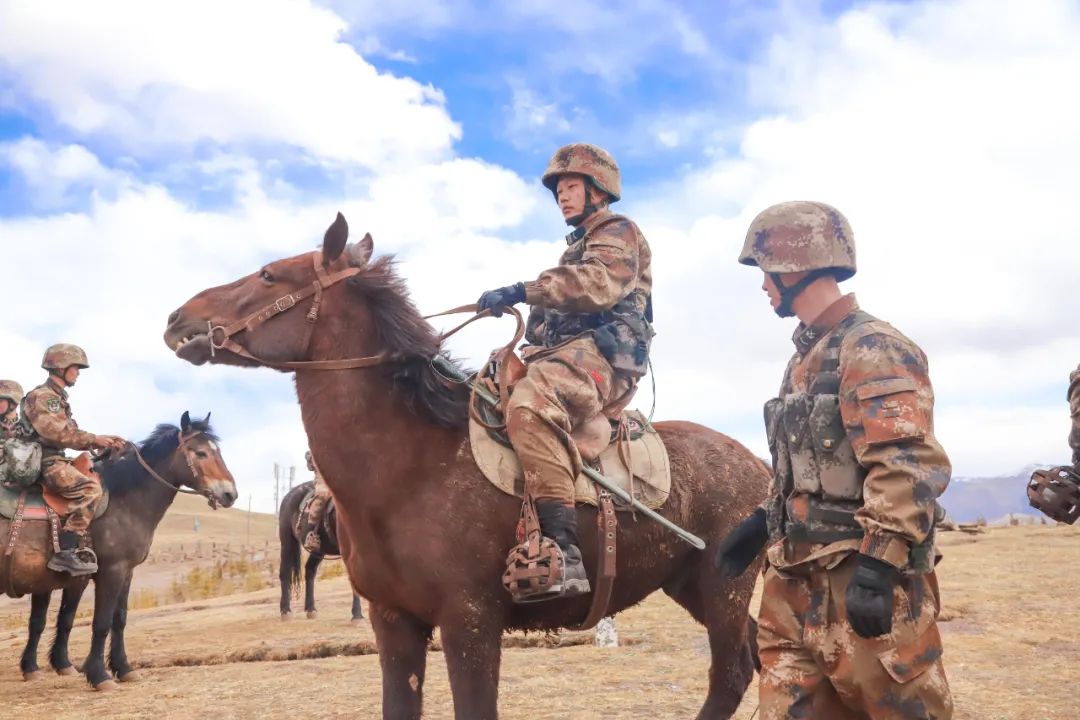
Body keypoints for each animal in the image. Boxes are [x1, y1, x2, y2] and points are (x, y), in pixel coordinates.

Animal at [4, 412, 237, 690]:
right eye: (200, 453)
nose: (230, 494)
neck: (124, 501)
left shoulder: (125, 572)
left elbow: (117, 619)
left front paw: (123, 668)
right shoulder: (109, 571)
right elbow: (100, 623)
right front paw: (99, 675)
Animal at [278, 480, 364, 622]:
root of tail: (289, 495)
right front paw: (357, 616)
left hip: (318, 551)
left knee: (310, 570)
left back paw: (311, 609)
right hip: (287, 542)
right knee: (285, 572)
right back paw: (285, 611)